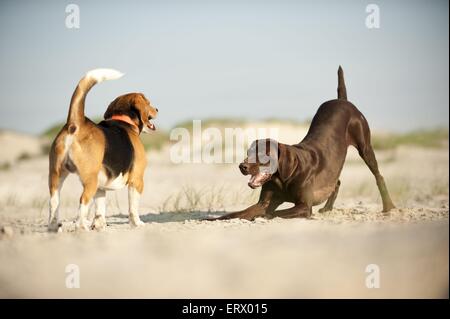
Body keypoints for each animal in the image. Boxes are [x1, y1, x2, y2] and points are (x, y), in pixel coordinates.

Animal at [48, 69, 158, 231]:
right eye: (148, 103)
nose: (157, 109)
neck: (124, 121)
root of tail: (76, 123)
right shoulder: (137, 180)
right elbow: (133, 208)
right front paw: (137, 223)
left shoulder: (101, 187)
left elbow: (100, 209)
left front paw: (100, 226)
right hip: (90, 180)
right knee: (82, 202)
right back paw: (82, 227)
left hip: (56, 176)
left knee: (53, 202)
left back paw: (53, 228)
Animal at [210, 66, 394, 221]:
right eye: (249, 152)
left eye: (263, 153)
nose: (242, 166)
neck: (282, 176)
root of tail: (342, 100)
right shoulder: (264, 203)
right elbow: (237, 213)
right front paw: (213, 219)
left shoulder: (304, 206)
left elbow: (272, 213)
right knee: (336, 182)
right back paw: (327, 208)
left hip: (365, 146)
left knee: (378, 176)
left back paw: (389, 207)